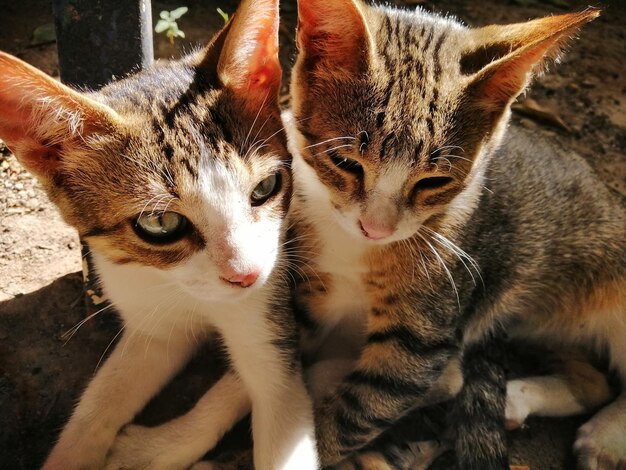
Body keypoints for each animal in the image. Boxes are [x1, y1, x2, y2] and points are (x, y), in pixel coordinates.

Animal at [0, 0, 316, 470]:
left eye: (265, 188)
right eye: (160, 224)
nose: (247, 275)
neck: (177, 286)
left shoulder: (269, 304)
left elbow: (278, 392)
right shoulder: (150, 320)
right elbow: (98, 403)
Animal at [286, 1, 620, 468]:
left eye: (434, 182)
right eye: (346, 162)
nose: (376, 228)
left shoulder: (428, 325)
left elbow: (368, 402)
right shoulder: (311, 286)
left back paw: (605, 436)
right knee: (593, 382)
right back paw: (516, 399)